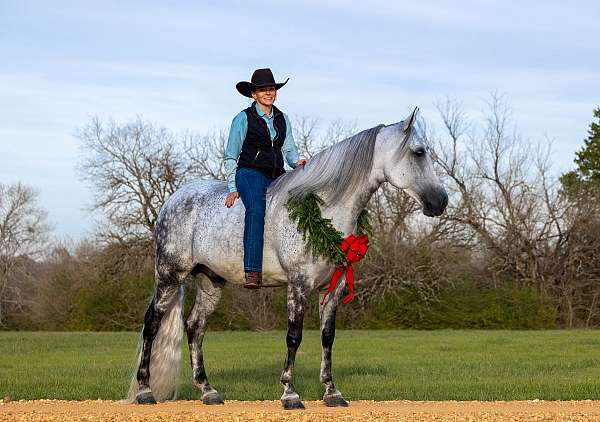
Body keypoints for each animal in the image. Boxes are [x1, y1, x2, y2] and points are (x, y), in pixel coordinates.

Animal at [125, 108, 446, 408]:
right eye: (419, 152)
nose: (440, 201)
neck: (323, 211)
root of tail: (173, 200)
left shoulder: (333, 288)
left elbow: (327, 337)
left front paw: (332, 393)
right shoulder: (298, 284)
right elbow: (294, 336)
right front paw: (290, 393)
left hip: (210, 282)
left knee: (195, 327)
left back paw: (208, 390)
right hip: (170, 275)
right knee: (152, 323)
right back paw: (144, 390)